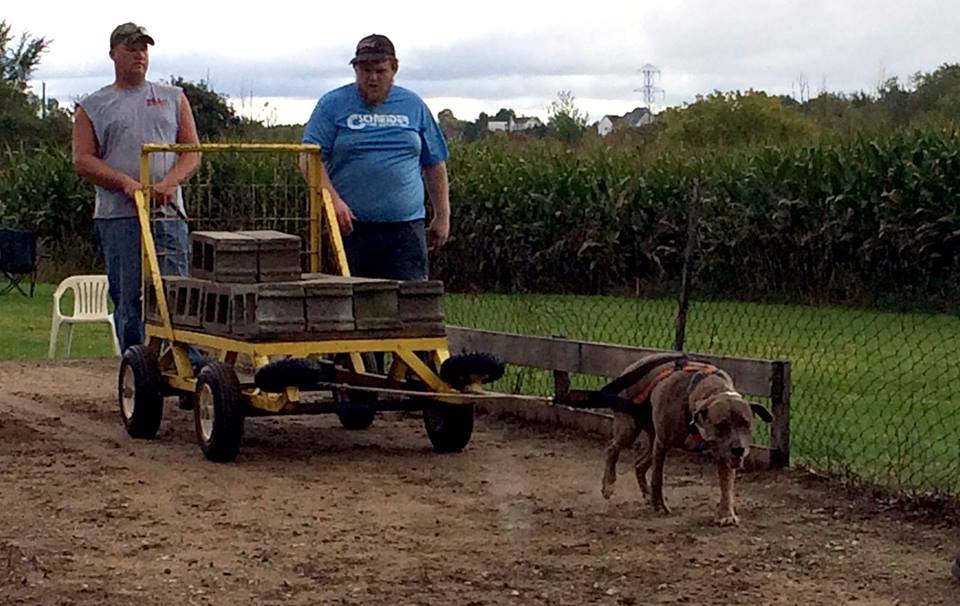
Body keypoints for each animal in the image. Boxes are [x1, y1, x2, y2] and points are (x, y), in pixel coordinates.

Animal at [600, 356, 772, 528]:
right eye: (720, 425)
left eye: (746, 424)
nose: (738, 449)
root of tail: (632, 366)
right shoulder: (663, 444)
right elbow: (657, 478)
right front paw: (660, 505)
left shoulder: (723, 453)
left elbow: (727, 484)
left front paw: (726, 514)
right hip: (630, 429)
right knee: (612, 449)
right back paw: (608, 485)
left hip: (652, 439)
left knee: (639, 465)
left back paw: (647, 496)